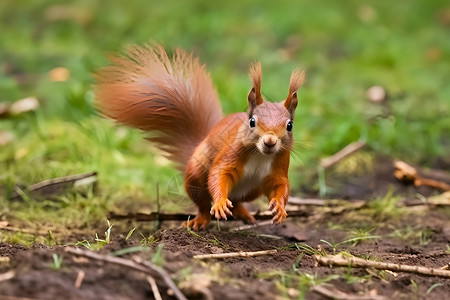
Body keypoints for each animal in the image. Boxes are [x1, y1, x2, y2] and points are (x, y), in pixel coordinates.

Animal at [95, 43, 306, 230]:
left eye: (289, 126)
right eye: (252, 121)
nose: (270, 141)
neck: (260, 155)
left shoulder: (279, 165)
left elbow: (281, 186)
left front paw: (280, 208)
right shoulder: (231, 152)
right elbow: (219, 174)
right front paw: (220, 202)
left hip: (251, 191)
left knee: (237, 201)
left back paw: (243, 214)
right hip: (196, 178)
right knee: (204, 206)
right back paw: (201, 220)